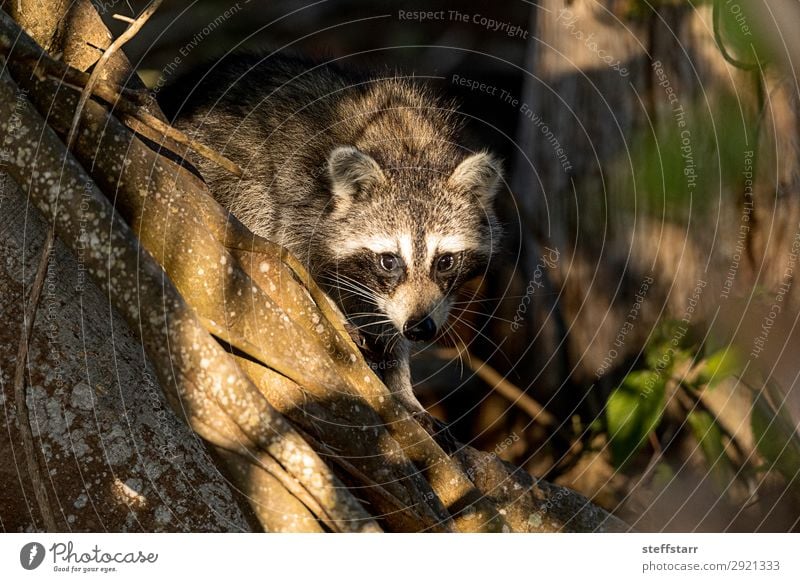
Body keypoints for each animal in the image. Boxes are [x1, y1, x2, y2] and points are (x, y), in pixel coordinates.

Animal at [159, 53, 504, 416]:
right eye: (389, 261)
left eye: (446, 261)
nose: (420, 328)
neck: (408, 149)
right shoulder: (290, 196)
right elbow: (296, 265)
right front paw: (335, 311)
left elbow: (386, 319)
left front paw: (400, 379)